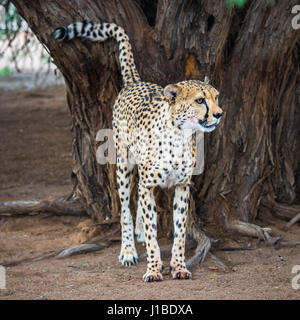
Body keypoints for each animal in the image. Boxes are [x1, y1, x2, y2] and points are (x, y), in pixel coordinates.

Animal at [54, 21, 223, 282]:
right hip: (123, 167)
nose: (219, 114)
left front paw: (179, 266)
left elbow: (179, 232)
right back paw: (128, 250)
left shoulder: (182, 186)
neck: (180, 136)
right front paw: (153, 268)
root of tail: (135, 82)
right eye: (199, 100)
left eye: (216, 97)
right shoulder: (149, 180)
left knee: (141, 199)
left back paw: (141, 230)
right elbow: (153, 235)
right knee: (126, 207)